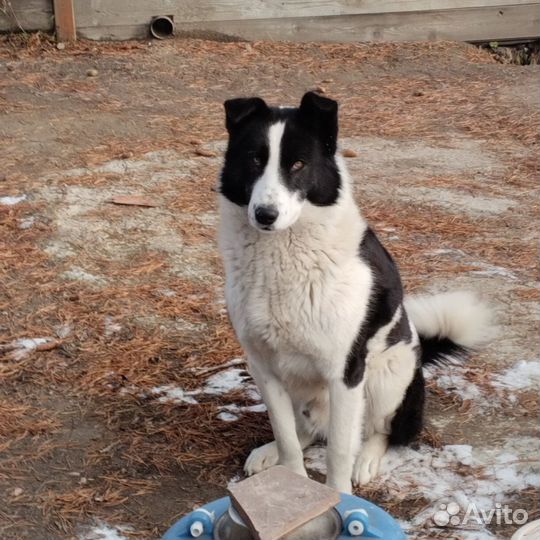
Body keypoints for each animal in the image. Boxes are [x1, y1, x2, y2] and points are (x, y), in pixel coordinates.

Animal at [217, 92, 492, 494]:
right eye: (254, 159)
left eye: (298, 164)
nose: (265, 215)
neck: (282, 257)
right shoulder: (264, 368)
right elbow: (286, 439)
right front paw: (293, 484)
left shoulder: (345, 373)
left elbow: (339, 450)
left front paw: (339, 495)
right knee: (304, 431)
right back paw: (270, 452)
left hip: (387, 377)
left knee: (383, 431)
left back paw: (368, 459)